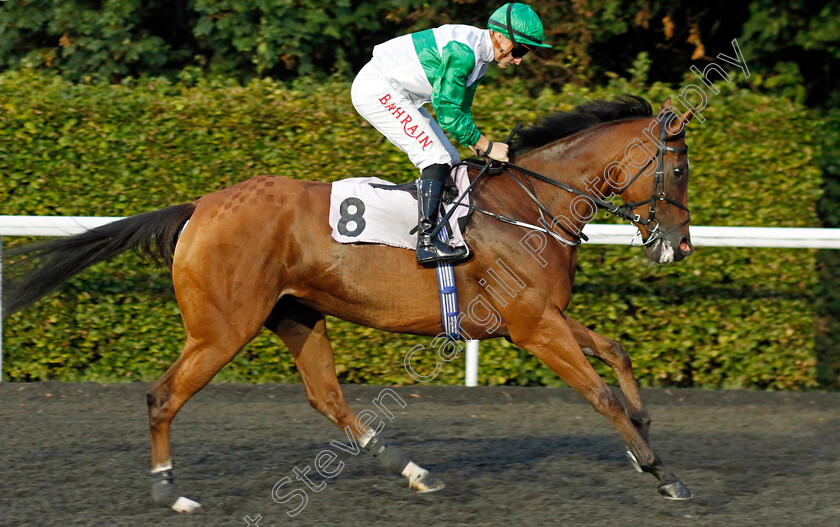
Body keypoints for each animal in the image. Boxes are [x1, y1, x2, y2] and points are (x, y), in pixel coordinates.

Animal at [0, 97, 696, 512]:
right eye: (682, 167)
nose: (680, 244)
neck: (531, 207)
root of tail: (200, 205)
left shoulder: (544, 316)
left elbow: (616, 351)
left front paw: (644, 432)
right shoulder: (532, 327)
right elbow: (599, 393)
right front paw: (660, 470)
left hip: (296, 314)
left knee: (327, 397)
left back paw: (412, 469)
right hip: (222, 328)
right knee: (163, 395)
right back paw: (171, 492)